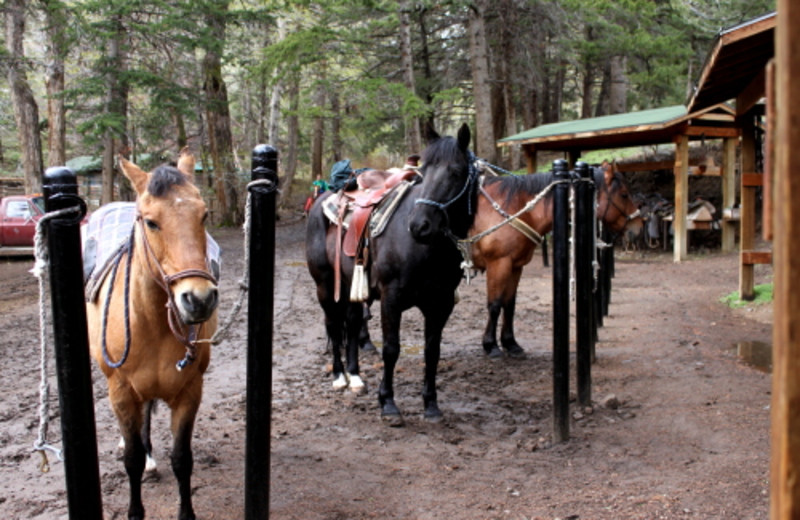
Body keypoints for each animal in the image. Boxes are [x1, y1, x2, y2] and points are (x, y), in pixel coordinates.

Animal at [84, 148, 219, 516]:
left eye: (203, 215)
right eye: (151, 221)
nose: (198, 299)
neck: (154, 325)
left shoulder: (190, 391)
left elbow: (182, 459)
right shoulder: (120, 390)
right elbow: (130, 459)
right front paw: (134, 510)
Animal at [306, 124, 476, 424]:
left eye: (456, 171)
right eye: (423, 172)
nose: (419, 225)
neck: (426, 249)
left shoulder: (441, 303)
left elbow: (432, 351)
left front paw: (431, 404)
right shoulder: (391, 298)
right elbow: (391, 348)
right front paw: (388, 403)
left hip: (351, 287)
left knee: (351, 324)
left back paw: (356, 377)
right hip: (325, 287)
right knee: (334, 325)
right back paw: (339, 376)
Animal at [468, 160, 644, 358]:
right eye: (624, 194)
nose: (638, 227)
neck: (517, 208)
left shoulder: (515, 266)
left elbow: (509, 304)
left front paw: (510, 343)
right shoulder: (498, 264)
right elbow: (495, 305)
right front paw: (490, 345)